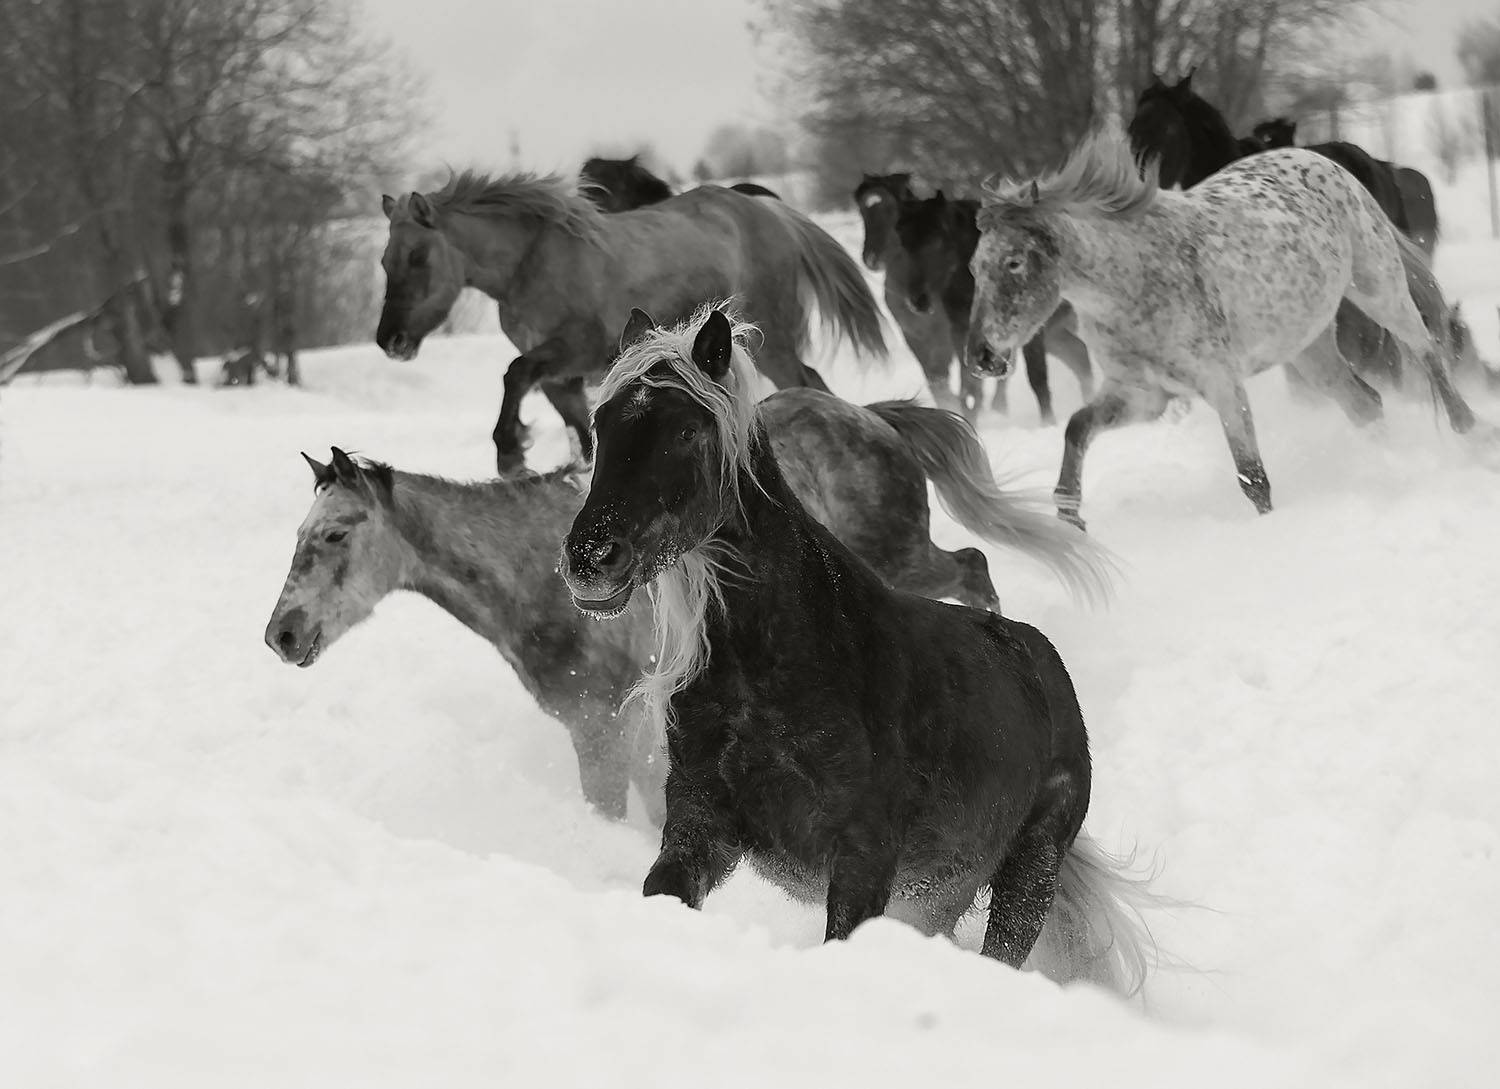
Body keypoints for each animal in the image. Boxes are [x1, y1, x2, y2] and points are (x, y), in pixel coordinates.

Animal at [264, 393, 1112, 818]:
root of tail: (871, 415)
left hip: (900, 558)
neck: (542, 578)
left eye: (335, 533)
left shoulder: (600, 726)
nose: (282, 633)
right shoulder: (636, 720)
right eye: (297, 535)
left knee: (973, 568)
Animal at [377, 171, 869, 476]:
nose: (390, 340)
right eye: (384, 260)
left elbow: (514, 373)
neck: (531, 264)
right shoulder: (561, 378)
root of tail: (772, 213)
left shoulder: (574, 349)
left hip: (775, 341)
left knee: (808, 380)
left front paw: (510, 453)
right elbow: (579, 431)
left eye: (417, 256)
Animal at [560, 306, 1151, 990]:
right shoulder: (701, 820)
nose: (591, 557)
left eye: (685, 430)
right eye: (601, 425)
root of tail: (1045, 663)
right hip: (940, 895)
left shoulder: (864, 856)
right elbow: (664, 887)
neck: (773, 666)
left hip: (1029, 870)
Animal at [892, 192, 1095, 425]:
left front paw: (1048, 423)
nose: (918, 300)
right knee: (1080, 355)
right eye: (903, 242)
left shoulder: (1031, 334)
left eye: (938, 241)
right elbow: (970, 388)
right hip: (1056, 334)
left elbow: (1037, 379)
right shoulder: (962, 333)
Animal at [966, 132, 1476, 531]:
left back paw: (1469, 431)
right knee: (1366, 402)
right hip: (1308, 348)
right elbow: (1076, 429)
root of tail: (1325, 161)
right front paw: (1070, 517)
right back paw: (1387, 462)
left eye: (1013, 262)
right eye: (973, 267)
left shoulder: (1222, 384)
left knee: (1427, 351)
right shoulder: (1142, 395)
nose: (981, 357)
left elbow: (1253, 479)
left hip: (1378, 289)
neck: (1133, 280)